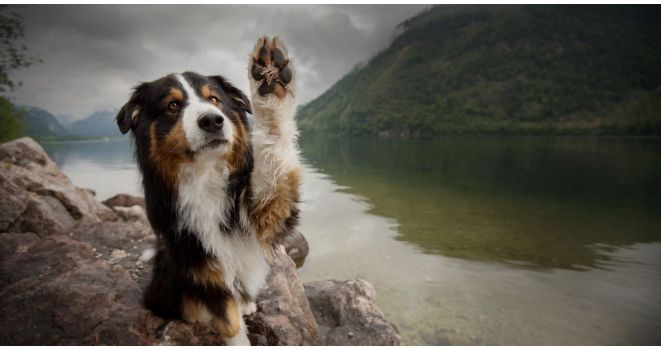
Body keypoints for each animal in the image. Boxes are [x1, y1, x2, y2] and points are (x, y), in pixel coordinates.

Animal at [116, 36, 302, 346]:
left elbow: (274, 151)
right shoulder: (199, 261)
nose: (212, 120)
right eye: (172, 106)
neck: (205, 175)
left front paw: (269, 78)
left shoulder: (265, 208)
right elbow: (229, 321)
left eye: (214, 100)